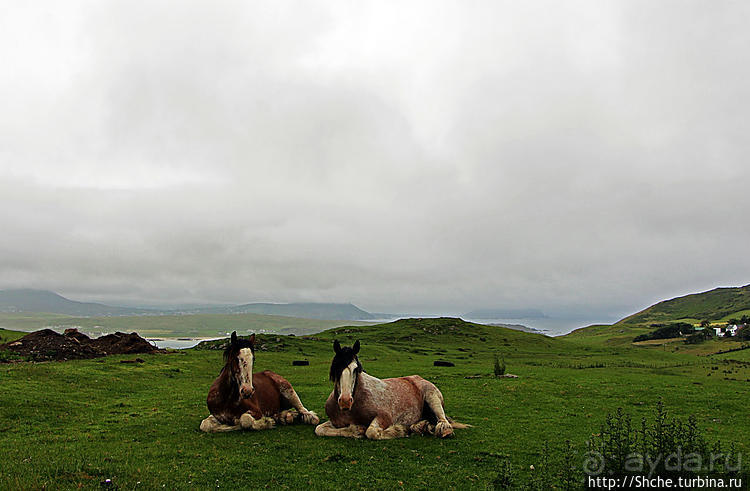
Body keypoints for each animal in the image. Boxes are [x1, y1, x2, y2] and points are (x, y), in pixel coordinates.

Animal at [312, 340, 470, 440]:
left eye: (356, 369)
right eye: (336, 368)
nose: (345, 401)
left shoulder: (384, 417)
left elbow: (371, 432)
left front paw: (399, 430)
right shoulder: (334, 422)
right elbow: (319, 429)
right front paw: (355, 430)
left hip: (432, 397)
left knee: (442, 420)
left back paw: (442, 430)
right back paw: (421, 427)